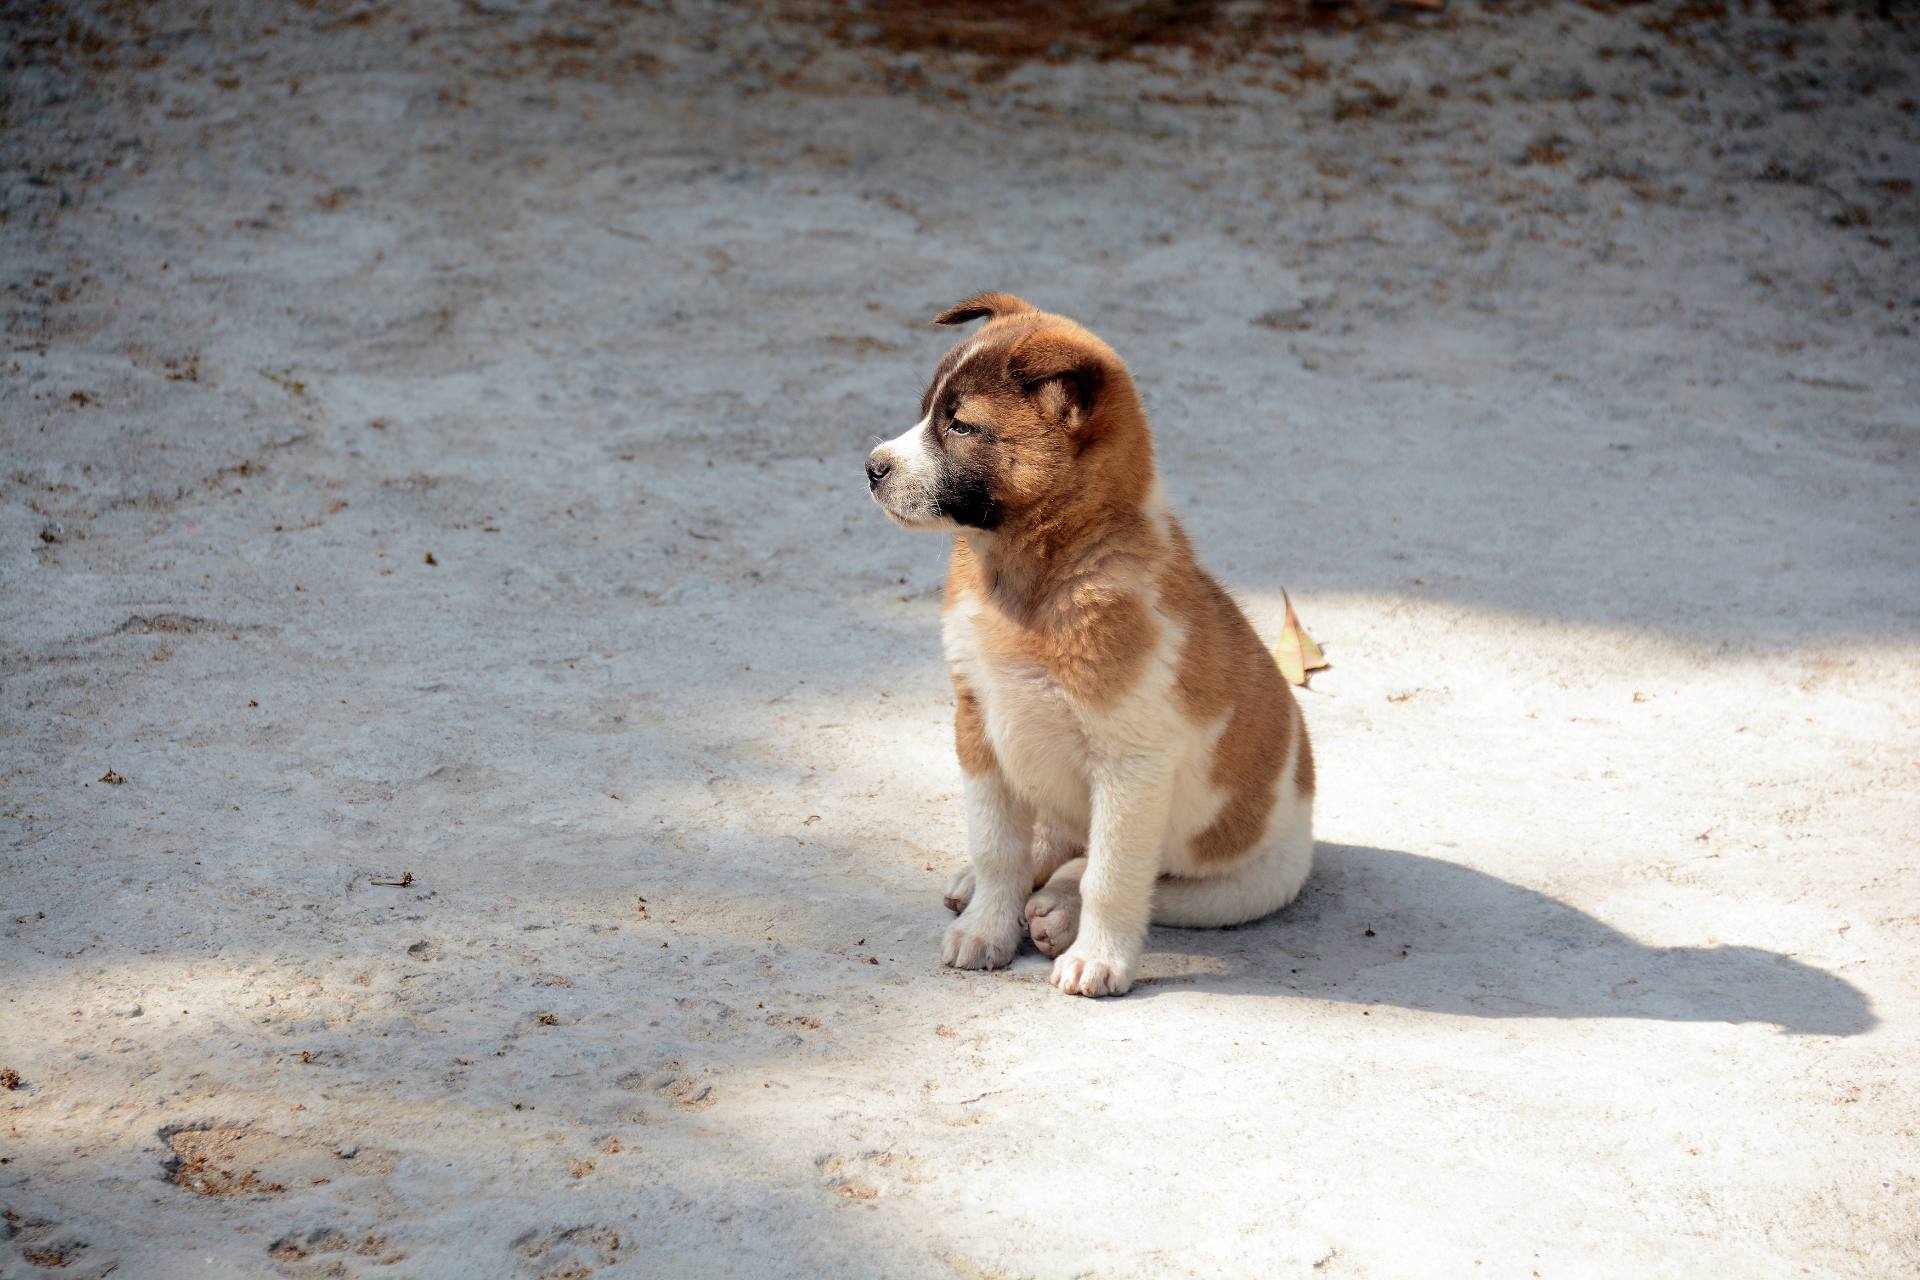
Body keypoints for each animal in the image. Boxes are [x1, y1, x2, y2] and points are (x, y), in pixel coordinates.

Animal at [871, 295, 1320, 997]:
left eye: (961, 426)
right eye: (926, 413)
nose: (871, 468)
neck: (1037, 581)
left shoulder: (1131, 765)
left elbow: (1112, 878)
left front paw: (1098, 958)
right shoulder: (978, 725)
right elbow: (996, 847)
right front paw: (987, 926)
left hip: (1243, 885)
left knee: (1131, 880)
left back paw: (1059, 911)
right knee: (1055, 840)